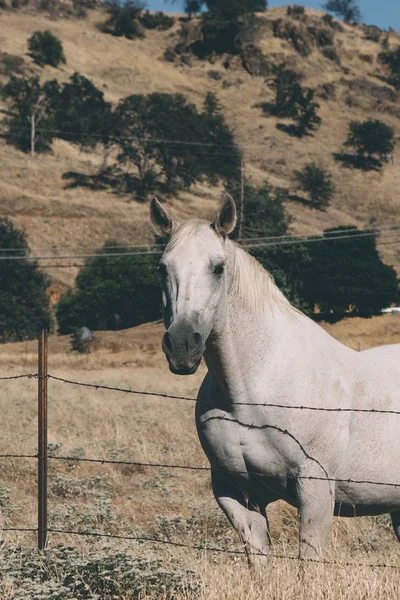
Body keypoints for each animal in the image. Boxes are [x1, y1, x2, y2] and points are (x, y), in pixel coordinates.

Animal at [149, 197, 400, 568]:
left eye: (218, 268)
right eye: (162, 269)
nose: (182, 345)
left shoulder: (314, 489)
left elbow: (309, 562)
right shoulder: (236, 492)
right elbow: (259, 560)